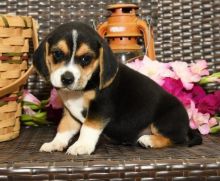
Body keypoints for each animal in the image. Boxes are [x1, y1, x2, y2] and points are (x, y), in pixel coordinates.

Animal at [33, 20, 203, 154]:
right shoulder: (70, 112)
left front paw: (81, 146)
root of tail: (187, 125)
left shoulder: (100, 107)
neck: (80, 90)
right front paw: (55, 143)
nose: (67, 78)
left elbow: (87, 128)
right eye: (57, 53)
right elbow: (63, 128)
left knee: (177, 139)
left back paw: (149, 140)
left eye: (86, 58)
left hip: (164, 121)